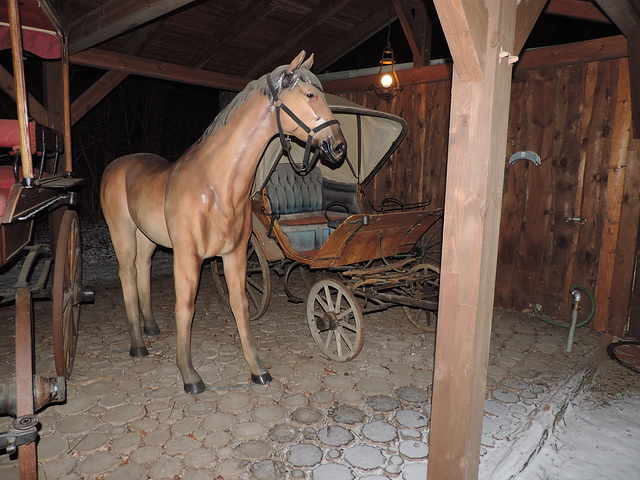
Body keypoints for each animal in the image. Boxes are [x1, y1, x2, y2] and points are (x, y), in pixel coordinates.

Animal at [101, 51, 344, 394]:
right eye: (310, 95)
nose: (338, 146)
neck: (215, 185)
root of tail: (115, 167)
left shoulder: (235, 253)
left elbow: (239, 303)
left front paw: (258, 370)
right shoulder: (187, 256)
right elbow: (185, 307)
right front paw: (189, 375)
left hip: (147, 238)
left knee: (142, 270)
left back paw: (151, 328)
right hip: (121, 233)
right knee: (127, 275)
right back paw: (138, 345)